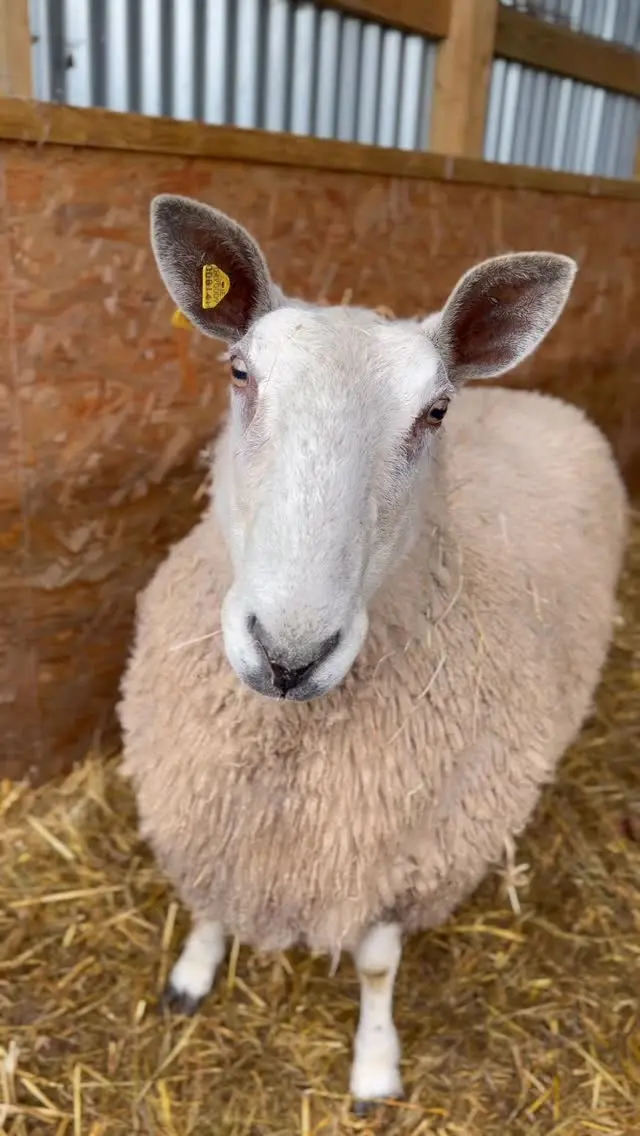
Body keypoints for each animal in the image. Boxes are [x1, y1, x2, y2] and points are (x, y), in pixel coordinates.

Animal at [118, 193, 627, 1111]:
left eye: (437, 412)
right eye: (240, 373)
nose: (288, 655)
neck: (287, 747)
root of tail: (540, 396)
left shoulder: (414, 854)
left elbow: (379, 965)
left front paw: (376, 1065)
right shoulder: (204, 810)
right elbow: (209, 903)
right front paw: (192, 974)